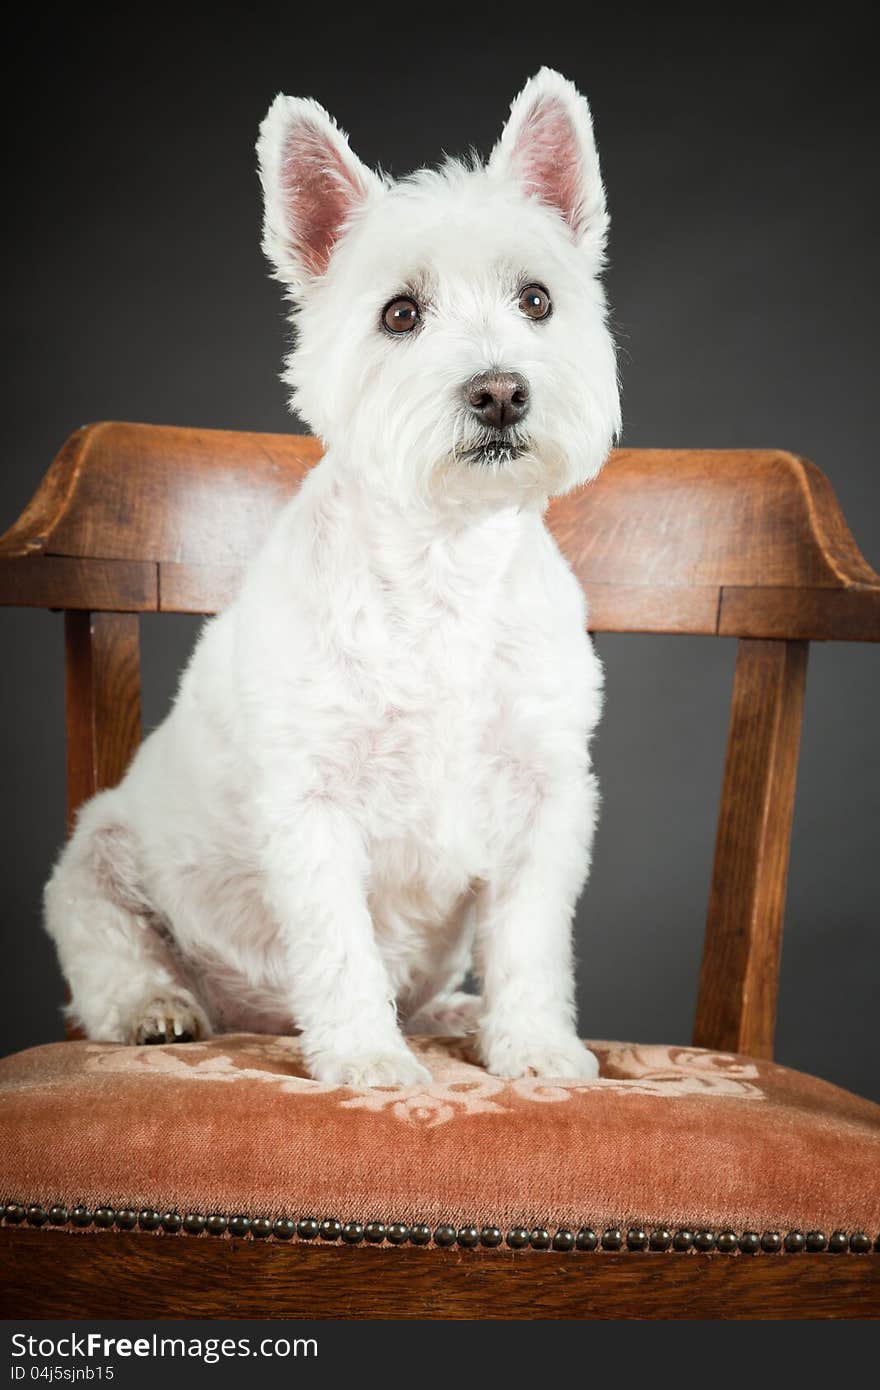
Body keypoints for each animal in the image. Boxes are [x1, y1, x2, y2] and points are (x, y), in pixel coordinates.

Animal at [42, 70, 617, 1084]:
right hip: (97, 855)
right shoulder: (312, 803)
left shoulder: (544, 793)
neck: (444, 562)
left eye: (538, 299)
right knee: (113, 957)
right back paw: (163, 1010)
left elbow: (531, 937)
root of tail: (253, 1019)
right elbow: (340, 941)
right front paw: (367, 1060)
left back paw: (459, 1016)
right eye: (400, 313)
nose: (501, 391)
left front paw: (536, 1046)